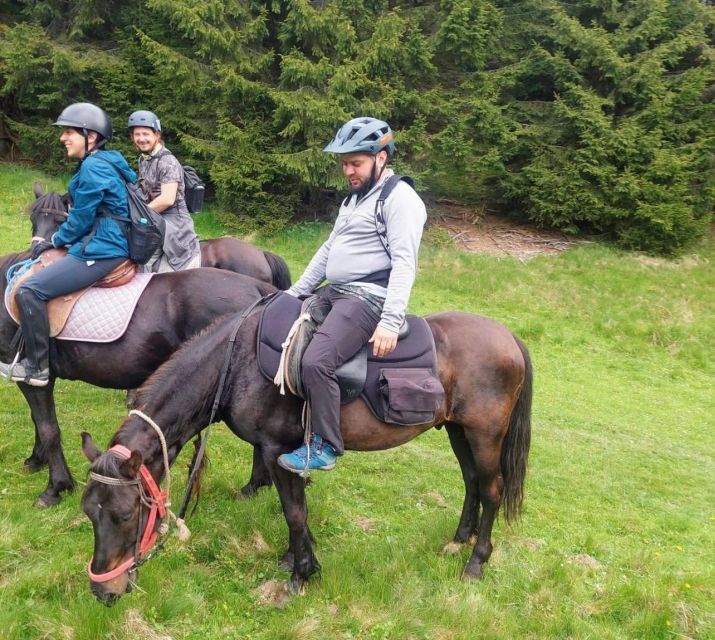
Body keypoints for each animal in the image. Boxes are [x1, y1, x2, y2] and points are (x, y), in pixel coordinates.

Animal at [0, 248, 280, 508]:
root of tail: (260, 292)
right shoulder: (37, 380)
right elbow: (39, 421)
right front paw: (36, 461)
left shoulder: (33, 378)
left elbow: (48, 428)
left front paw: (55, 488)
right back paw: (254, 487)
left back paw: (254, 485)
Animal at [81, 298, 536, 604]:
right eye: (89, 512)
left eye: (125, 514)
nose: (102, 592)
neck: (237, 363)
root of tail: (509, 337)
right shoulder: (283, 454)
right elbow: (298, 511)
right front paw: (297, 559)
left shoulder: (278, 451)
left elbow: (294, 513)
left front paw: (301, 576)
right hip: (459, 431)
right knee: (472, 483)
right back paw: (458, 540)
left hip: (484, 434)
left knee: (491, 490)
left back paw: (476, 562)